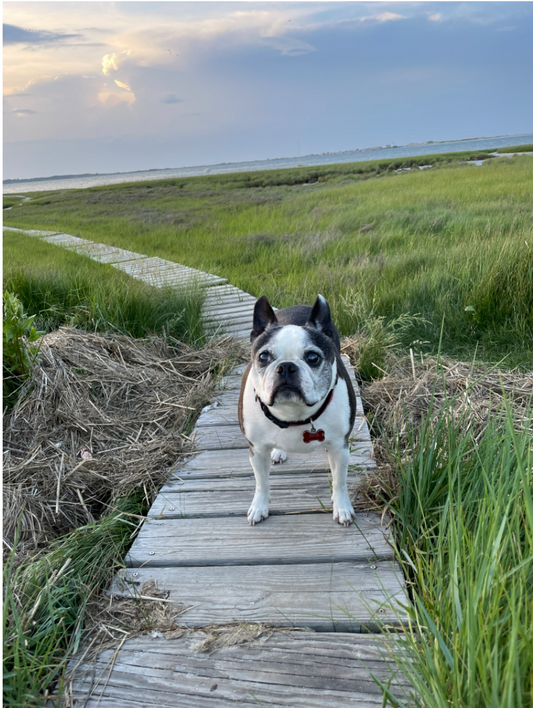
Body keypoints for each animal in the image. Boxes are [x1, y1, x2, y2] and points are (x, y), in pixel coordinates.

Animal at [238, 294, 356, 524]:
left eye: (313, 357)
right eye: (263, 357)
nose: (286, 366)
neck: (293, 414)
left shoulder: (340, 447)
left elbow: (340, 481)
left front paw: (342, 507)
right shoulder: (257, 450)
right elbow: (261, 482)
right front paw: (259, 506)